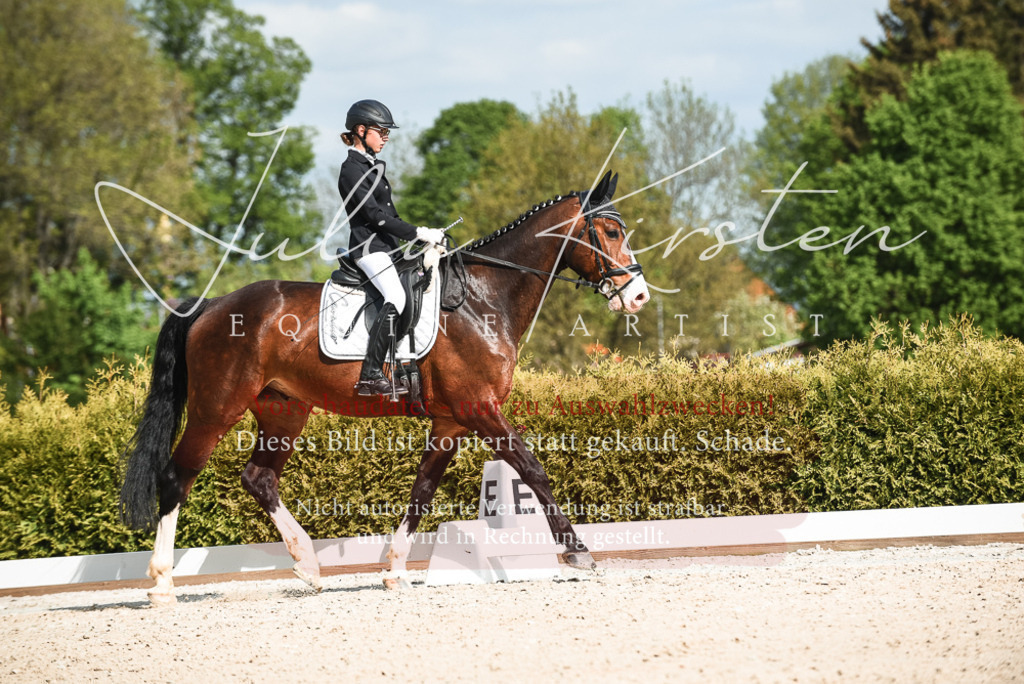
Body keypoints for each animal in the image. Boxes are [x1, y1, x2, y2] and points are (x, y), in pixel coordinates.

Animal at [119, 170, 650, 603]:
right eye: (611, 232)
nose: (639, 296)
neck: (483, 298)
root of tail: (211, 305)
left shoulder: (452, 421)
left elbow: (422, 489)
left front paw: (395, 569)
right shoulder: (479, 409)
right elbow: (534, 471)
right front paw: (578, 552)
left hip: (282, 409)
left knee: (259, 478)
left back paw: (307, 565)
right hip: (216, 407)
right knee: (178, 476)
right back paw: (162, 583)